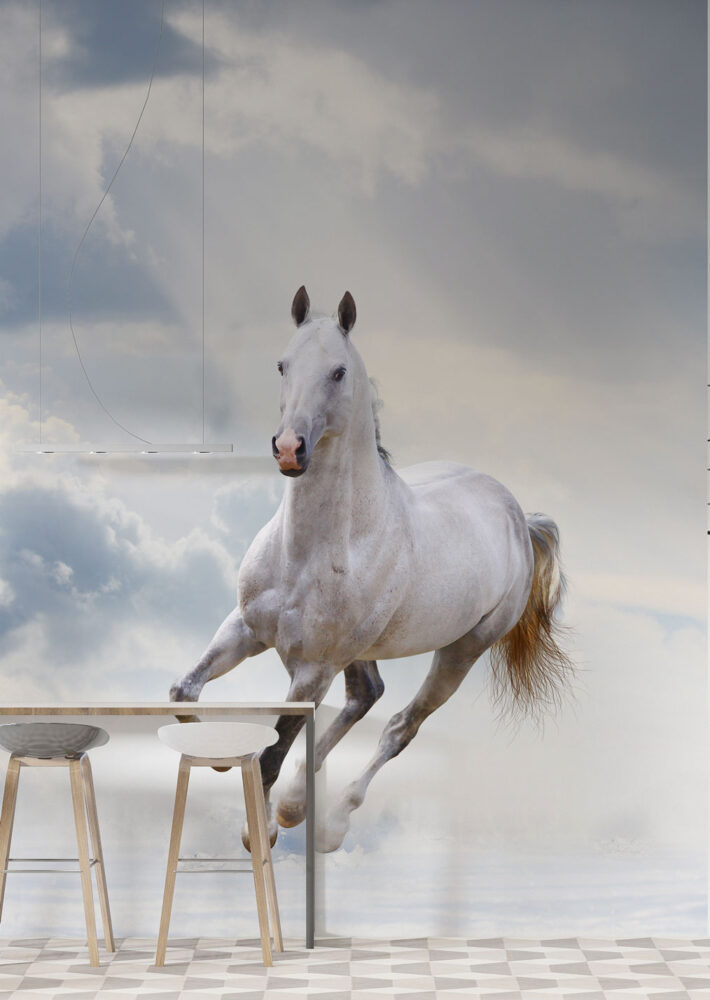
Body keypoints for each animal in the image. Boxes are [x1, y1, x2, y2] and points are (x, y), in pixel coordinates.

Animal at [170, 286, 572, 852]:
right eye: (282, 365)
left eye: (338, 371)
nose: (289, 449)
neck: (309, 551)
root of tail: (518, 515)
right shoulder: (246, 629)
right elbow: (185, 690)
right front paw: (223, 762)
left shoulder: (312, 669)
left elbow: (272, 754)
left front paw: (259, 832)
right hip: (360, 650)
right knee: (366, 696)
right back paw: (297, 806)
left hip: (461, 651)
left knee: (401, 726)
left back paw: (326, 821)